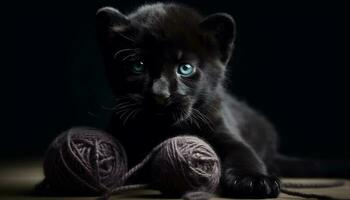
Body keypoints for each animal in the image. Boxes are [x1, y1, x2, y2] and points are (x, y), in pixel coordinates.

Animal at [96, 2, 282, 198]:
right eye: (138, 66)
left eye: (185, 68)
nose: (160, 94)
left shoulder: (224, 132)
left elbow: (244, 154)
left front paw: (256, 181)